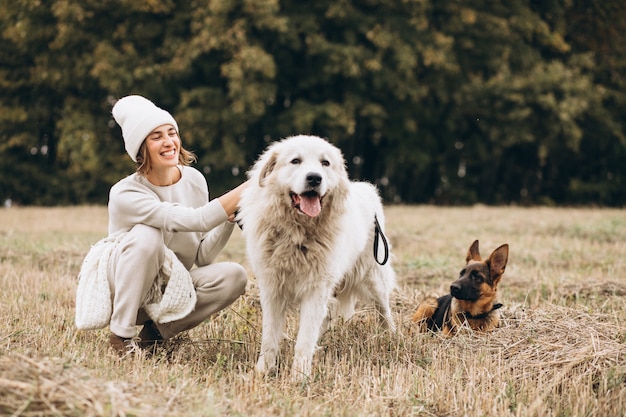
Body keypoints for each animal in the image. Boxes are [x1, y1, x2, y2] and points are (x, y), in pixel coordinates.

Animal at [236, 135, 392, 378]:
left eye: (325, 163)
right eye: (295, 161)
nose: (314, 178)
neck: (298, 234)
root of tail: (366, 188)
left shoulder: (316, 288)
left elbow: (304, 339)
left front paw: (299, 377)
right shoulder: (272, 288)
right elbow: (269, 337)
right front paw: (263, 372)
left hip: (373, 277)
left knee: (384, 310)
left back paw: (393, 338)